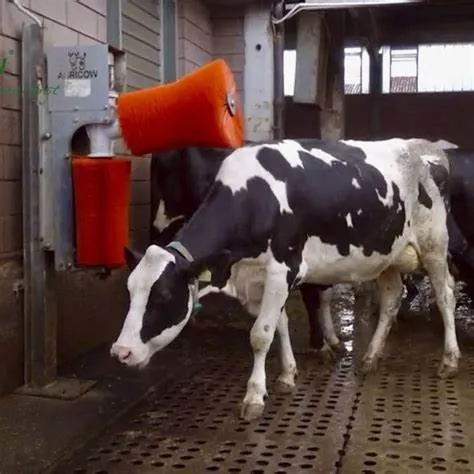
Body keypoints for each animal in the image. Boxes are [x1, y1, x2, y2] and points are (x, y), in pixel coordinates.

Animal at [110, 139, 460, 420]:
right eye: (130, 293)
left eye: (164, 297)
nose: (120, 352)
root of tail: (424, 147)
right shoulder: (260, 279)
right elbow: (279, 325)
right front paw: (288, 375)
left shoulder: (283, 270)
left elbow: (260, 335)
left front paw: (253, 396)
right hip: (387, 255)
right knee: (391, 299)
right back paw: (371, 357)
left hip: (434, 245)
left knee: (445, 296)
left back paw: (450, 360)